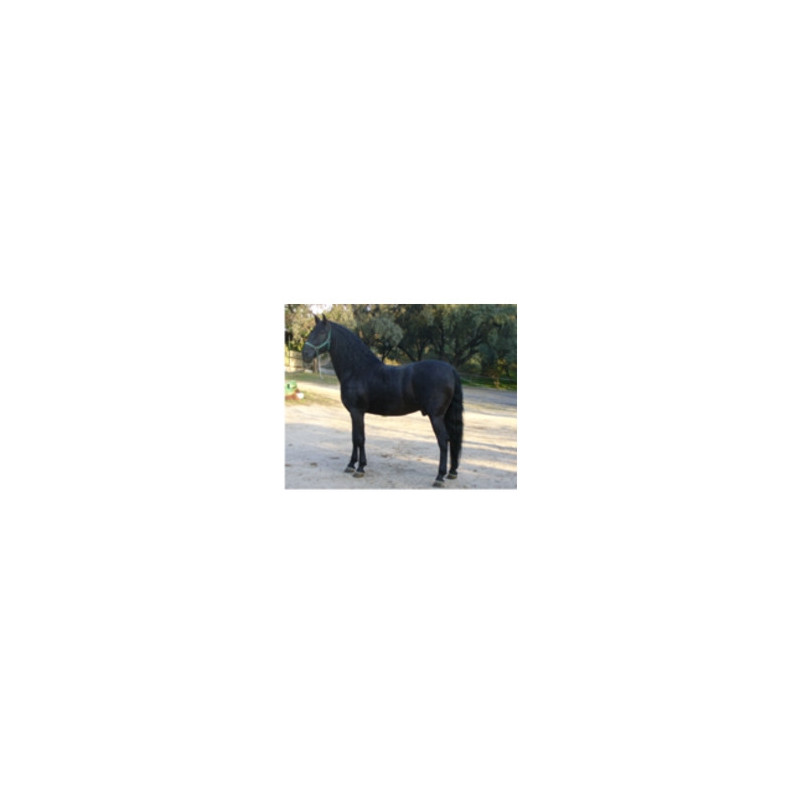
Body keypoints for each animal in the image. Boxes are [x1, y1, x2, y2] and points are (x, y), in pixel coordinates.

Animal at [301, 314, 463, 487]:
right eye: (312, 331)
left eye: (321, 333)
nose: (305, 354)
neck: (358, 369)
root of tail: (450, 369)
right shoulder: (355, 413)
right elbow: (354, 438)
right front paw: (351, 465)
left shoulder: (357, 412)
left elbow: (359, 438)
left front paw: (360, 468)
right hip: (445, 415)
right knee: (452, 439)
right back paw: (452, 472)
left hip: (436, 416)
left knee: (443, 441)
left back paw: (439, 477)